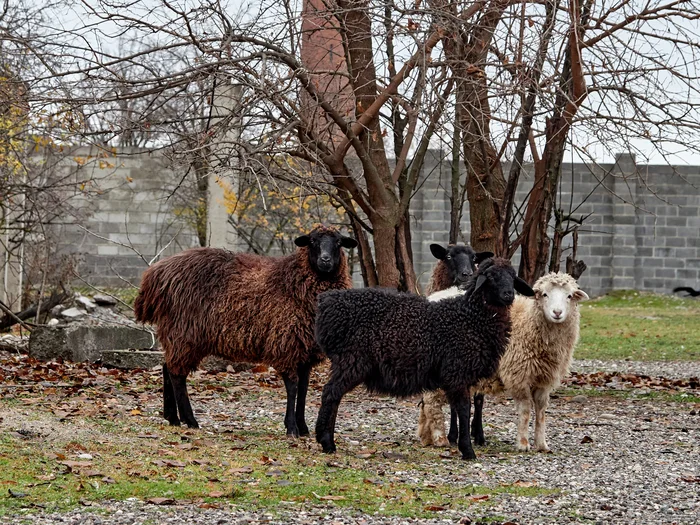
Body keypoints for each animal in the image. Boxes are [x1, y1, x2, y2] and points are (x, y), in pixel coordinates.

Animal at [135, 225, 356, 434]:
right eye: (312, 241)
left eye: (338, 242)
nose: (325, 260)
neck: (293, 282)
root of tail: (155, 274)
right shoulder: (285, 344)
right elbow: (292, 387)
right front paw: (291, 428)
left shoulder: (305, 352)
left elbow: (303, 390)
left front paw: (302, 428)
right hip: (185, 333)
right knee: (177, 375)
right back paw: (190, 421)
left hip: (178, 335)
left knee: (167, 367)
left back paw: (172, 418)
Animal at [314, 256, 532, 458]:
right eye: (491, 277)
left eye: (512, 277)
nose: (508, 294)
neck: (471, 316)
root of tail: (327, 303)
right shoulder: (457, 370)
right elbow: (463, 409)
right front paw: (467, 450)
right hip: (352, 360)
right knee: (331, 394)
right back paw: (327, 442)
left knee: (332, 395)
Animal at [418, 270, 588, 450]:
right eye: (544, 294)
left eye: (569, 296)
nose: (557, 313)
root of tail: (434, 296)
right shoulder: (518, 375)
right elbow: (525, 410)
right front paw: (523, 443)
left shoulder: (544, 379)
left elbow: (541, 411)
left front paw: (542, 445)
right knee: (432, 402)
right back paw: (439, 438)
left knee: (426, 403)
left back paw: (425, 436)